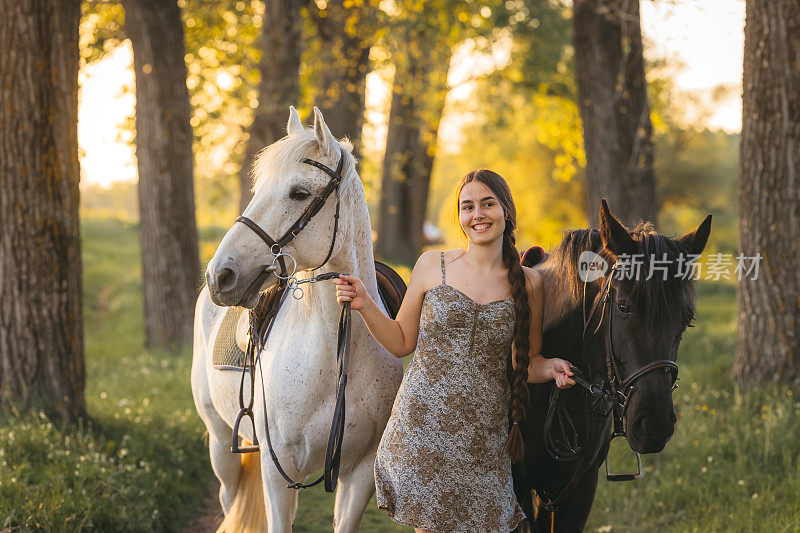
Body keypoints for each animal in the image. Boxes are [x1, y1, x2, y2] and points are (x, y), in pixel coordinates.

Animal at [193, 106, 404, 528]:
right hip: (221, 442)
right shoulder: (278, 471)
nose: (220, 276)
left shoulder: (359, 474)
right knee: (228, 495)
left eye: (299, 193)